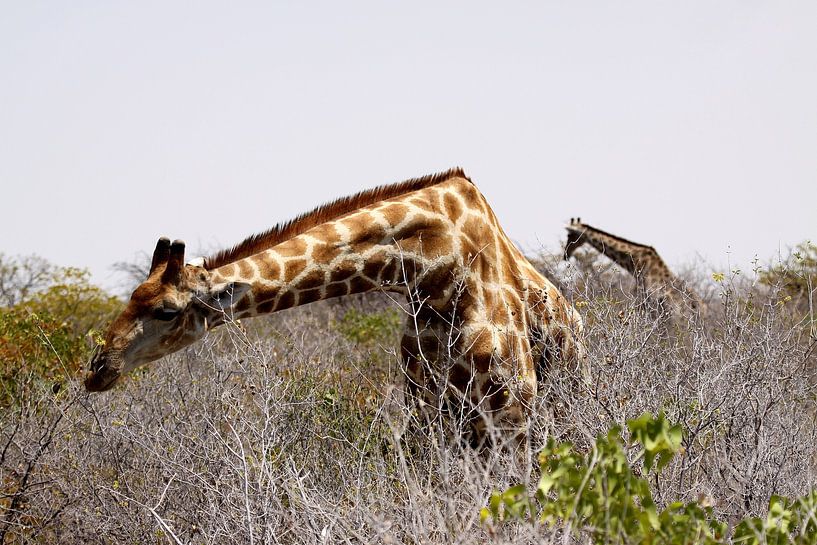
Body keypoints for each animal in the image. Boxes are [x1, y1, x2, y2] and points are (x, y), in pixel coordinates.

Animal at [85, 168, 585, 449]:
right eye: (132, 296)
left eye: (167, 311)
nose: (98, 368)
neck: (434, 270)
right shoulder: (428, 411)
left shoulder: (511, 413)